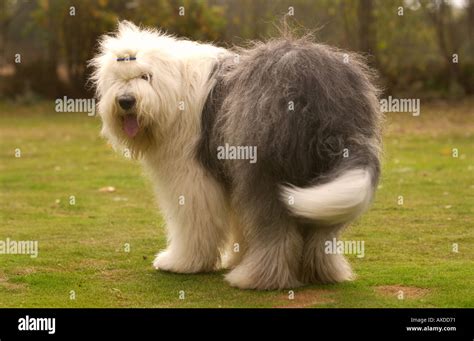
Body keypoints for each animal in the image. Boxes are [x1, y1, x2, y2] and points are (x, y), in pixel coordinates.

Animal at [90, 21, 384, 288]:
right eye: (120, 79)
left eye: (145, 76)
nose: (125, 101)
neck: (173, 93)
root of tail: (322, 90)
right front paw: (237, 257)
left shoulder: (192, 176)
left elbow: (193, 221)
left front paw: (181, 262)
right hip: (319, 172)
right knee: (321, 230)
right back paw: (321, 272)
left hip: (266, 165)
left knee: (276, 230)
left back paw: (256, 278)